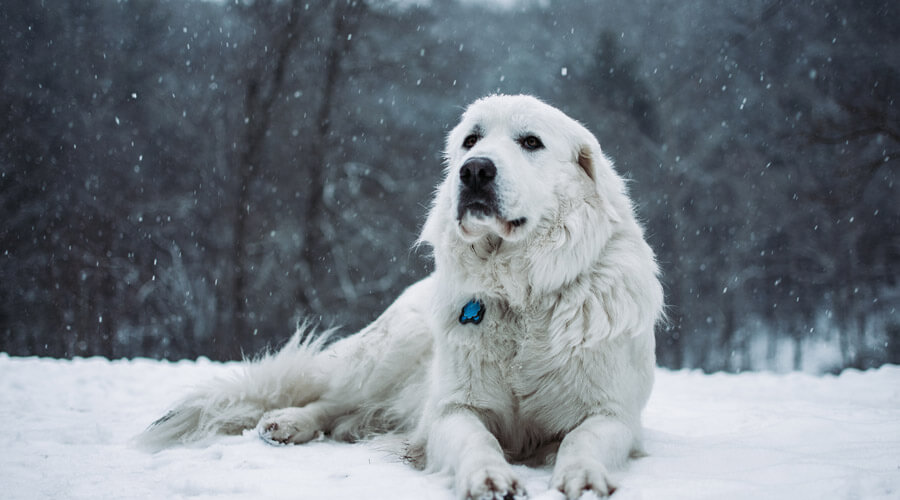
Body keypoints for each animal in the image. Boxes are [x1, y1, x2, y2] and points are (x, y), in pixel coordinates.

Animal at [139, 94, 660, 500]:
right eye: (471, 141)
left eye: (531, 142)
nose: (474, 171)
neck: (522, 292)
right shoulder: (453, 409)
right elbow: (477, 442)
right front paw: (488, 477)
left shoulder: (611, 414)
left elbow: (582, 440)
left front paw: (584, 477)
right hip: (390, 349)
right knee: (328, 397)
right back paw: (288, 422)